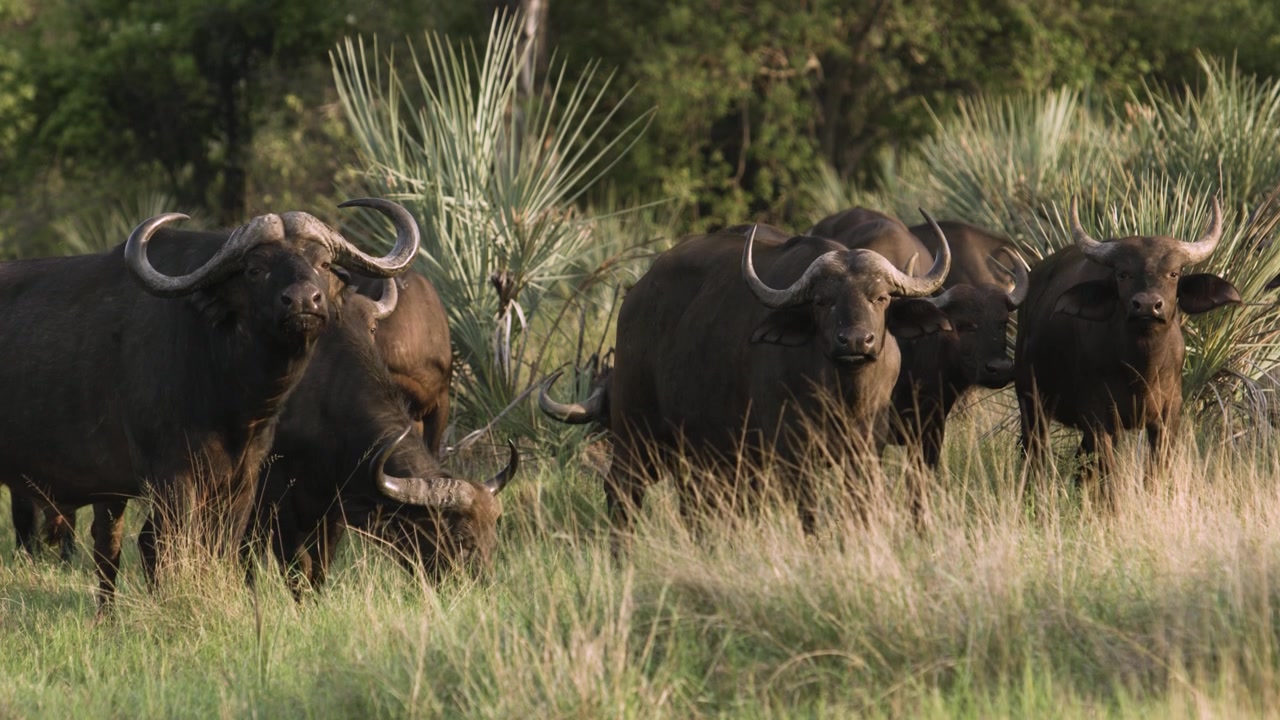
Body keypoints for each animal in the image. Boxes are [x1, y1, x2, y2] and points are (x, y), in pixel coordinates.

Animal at [0, 199, 418, 604]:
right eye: (255, 269)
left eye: (323, 263)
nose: (303, 301)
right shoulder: (173, 482)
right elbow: (174, 552)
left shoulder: (242, 483)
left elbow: (220, 551)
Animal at [1015, 197, 1240, 501]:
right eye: (1123, 274)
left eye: (1173, 273)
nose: (1147, 305)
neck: (1139, 369)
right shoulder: (1098, 419)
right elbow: (1109, 477)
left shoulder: (1168, 416)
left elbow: (1155, 473)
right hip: (1031, 401)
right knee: (1035, 454)